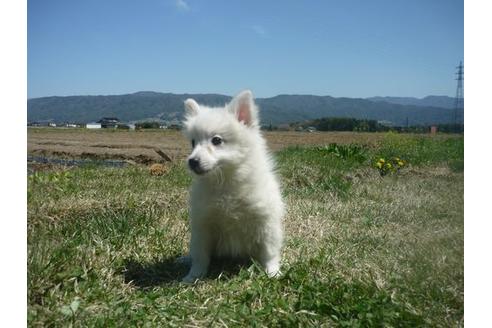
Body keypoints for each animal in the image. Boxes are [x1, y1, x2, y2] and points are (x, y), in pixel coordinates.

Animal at [182, 89, 284, 282]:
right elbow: (200, 256)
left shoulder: (265, 222)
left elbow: (269, 252)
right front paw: (194, 276)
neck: (226, 183)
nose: (192, 161)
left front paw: (273, 272)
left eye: (216, 140)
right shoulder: (203, 225)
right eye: (192, 142)